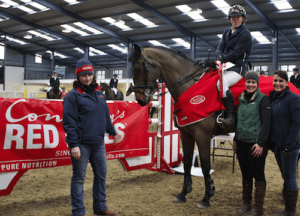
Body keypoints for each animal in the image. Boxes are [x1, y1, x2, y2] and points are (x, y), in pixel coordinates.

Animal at [128, 43, 230, 209]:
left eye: (138, 69)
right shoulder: (186, 134)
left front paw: (207, 197)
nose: (140, 100)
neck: (190, 86)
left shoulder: (203, 135)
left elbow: (206, 165)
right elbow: (187, 163)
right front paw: (183, 193)